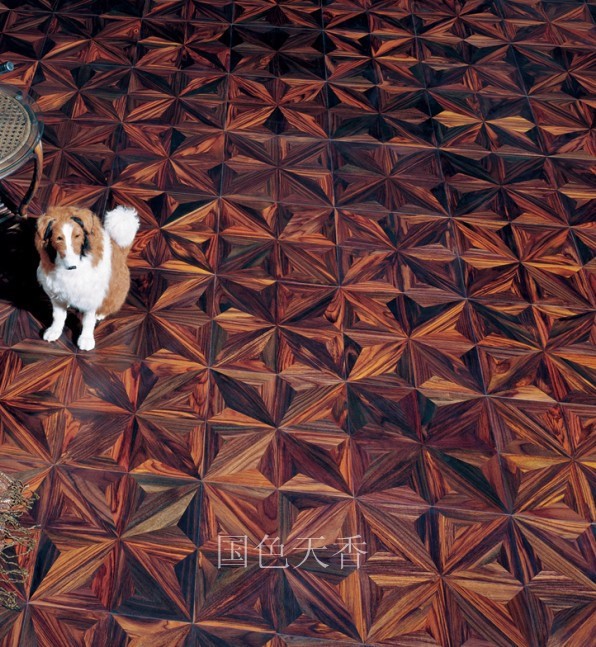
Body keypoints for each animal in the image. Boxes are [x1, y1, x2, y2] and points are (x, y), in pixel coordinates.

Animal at [35, 206, 140, 350]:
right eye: (59, 238)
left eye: (77, 235)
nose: (72, 266)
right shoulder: (56, 294)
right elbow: (58, 316)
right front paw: (54, 331)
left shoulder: (91, 297)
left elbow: (88, 321)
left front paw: (86, 339)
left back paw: (100, 314)